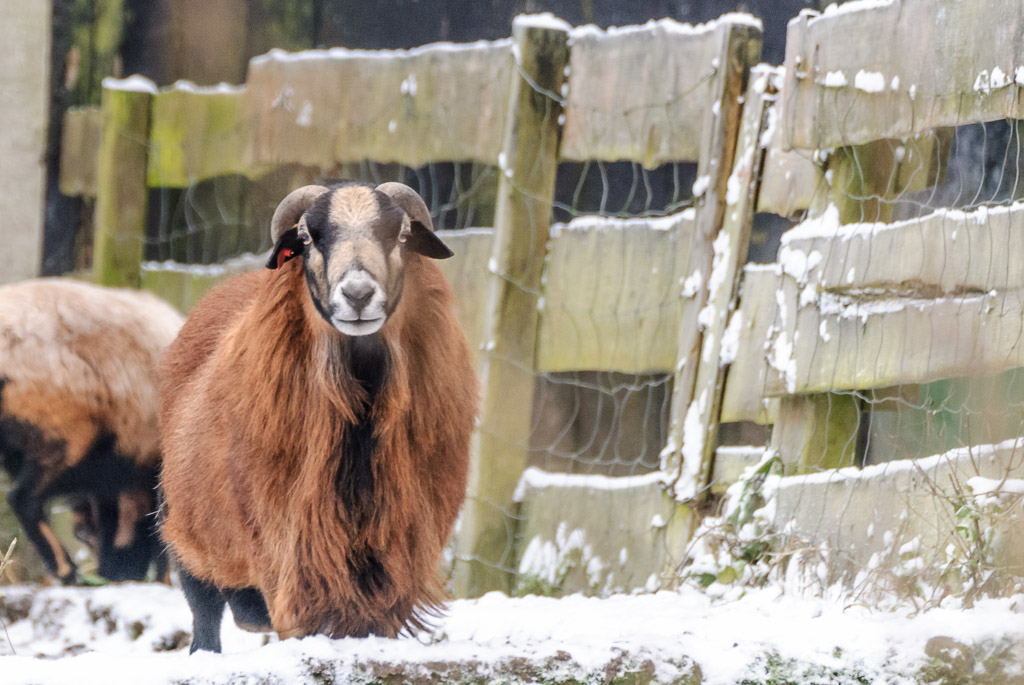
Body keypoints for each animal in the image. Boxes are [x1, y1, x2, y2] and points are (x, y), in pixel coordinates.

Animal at [159, 181, 478, 653]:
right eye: (308, 238)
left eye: (402, 234)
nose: (358, 294)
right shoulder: (285, 541)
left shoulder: (397, 545)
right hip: (188, 533)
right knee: (206, 613)